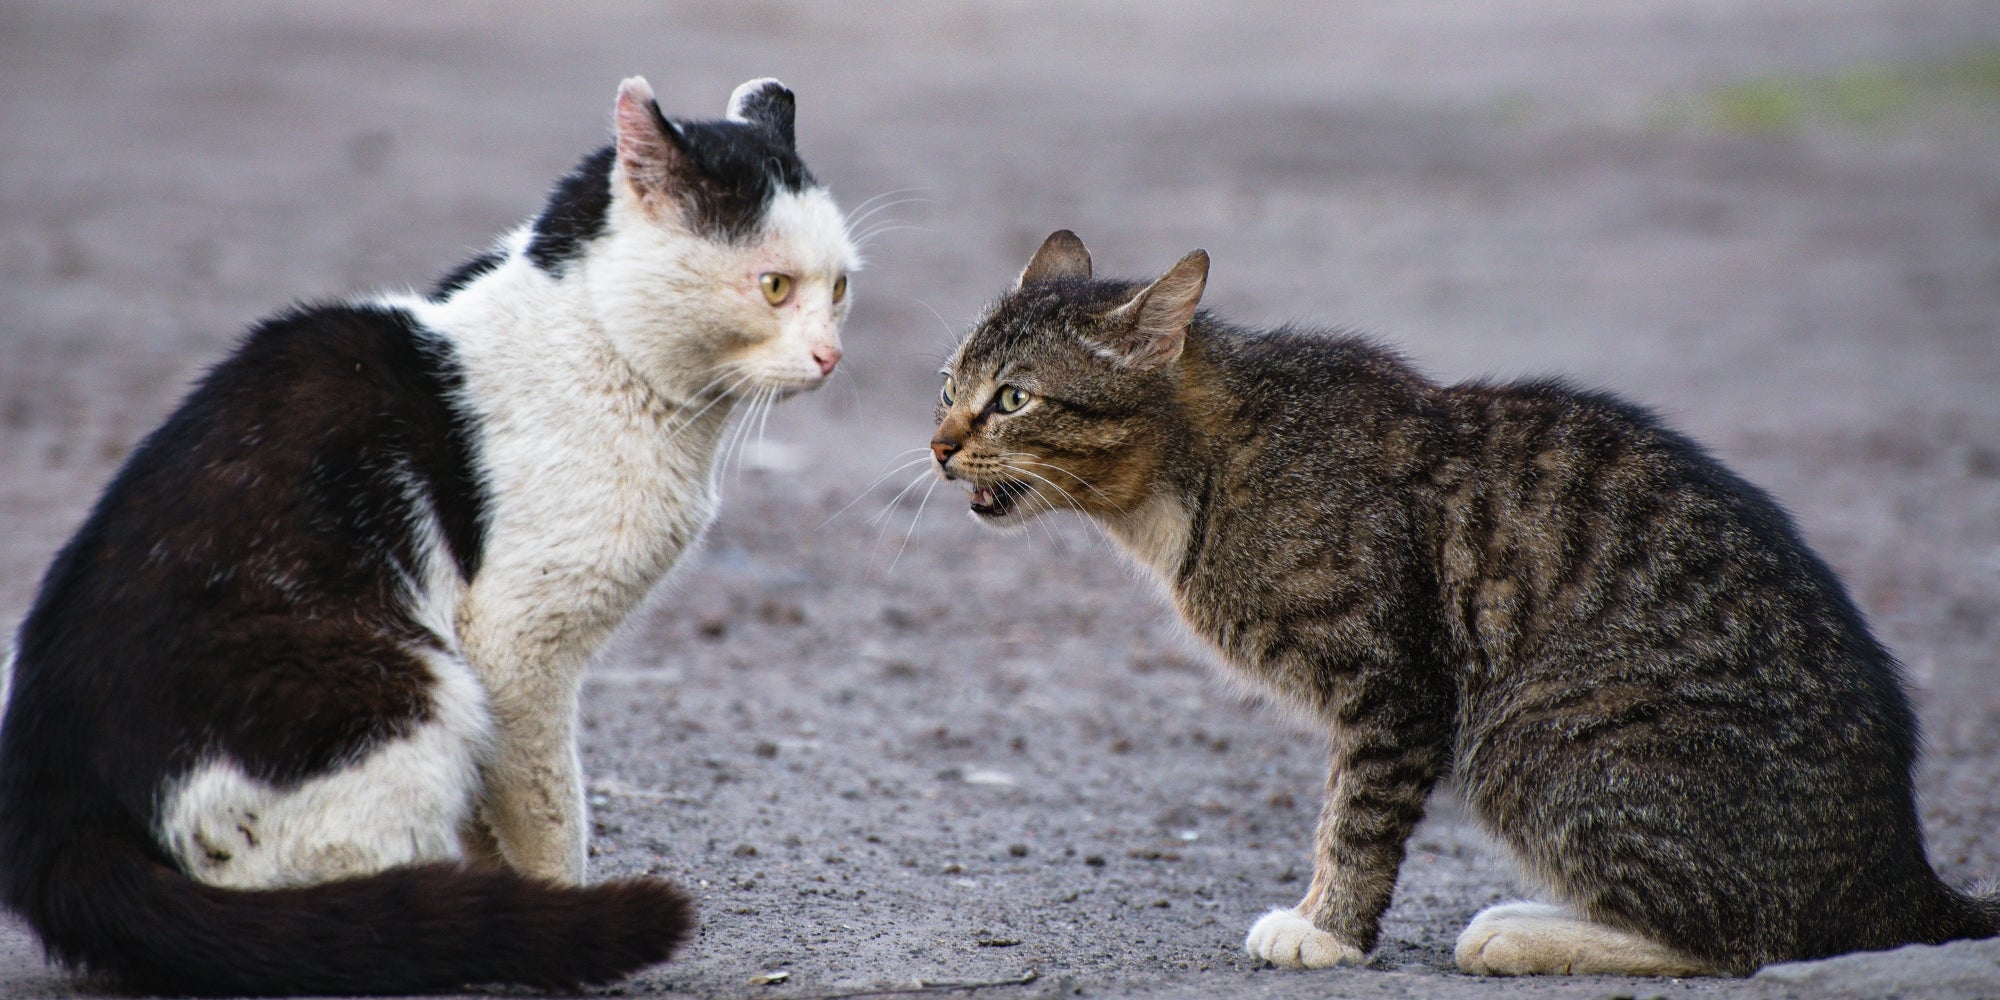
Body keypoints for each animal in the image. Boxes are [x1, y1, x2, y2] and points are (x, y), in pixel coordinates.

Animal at [0, 76, 852, 992]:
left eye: (841, 288)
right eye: (774, 286)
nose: (832, 355)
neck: (594, 340)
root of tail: (50, 820)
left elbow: (493, 815)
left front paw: (516, 901)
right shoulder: (514, 649)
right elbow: (548, 814)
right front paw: (555, 913)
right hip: (405, 685)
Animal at [928, 230, 1992, 972]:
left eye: (1013, 399)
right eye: (947, 384)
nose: (937, 444)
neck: (1191, 482)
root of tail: (1899, 871)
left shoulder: (1395, 685)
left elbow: (1354, 819)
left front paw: (1327, 929)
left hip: (1530, 732)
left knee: (1754, 940)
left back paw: (1525, 933)